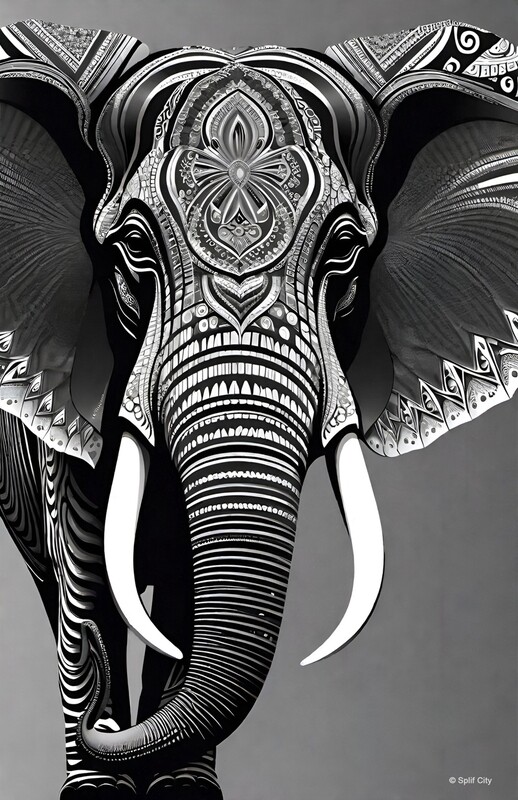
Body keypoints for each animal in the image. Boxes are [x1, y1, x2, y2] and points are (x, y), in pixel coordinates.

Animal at [0, 15, 517, 798]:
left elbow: (187, 584)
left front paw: (182, 790)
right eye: (133, 247)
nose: (105, 728)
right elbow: (85, 570)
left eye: (344, 249)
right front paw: (97, 784)